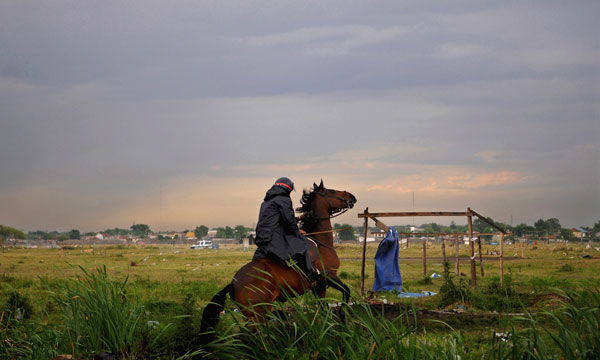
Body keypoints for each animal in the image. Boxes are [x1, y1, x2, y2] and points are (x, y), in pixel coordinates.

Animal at [199, 181, 356, 342]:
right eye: (332, 191)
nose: (352, 197)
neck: (320, 241)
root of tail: (233, 283)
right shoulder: (328, 276)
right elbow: (345, 292)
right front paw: (343, 319)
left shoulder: (318, 286)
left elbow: (324, 308)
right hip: (258, 315)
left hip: (254, 315)